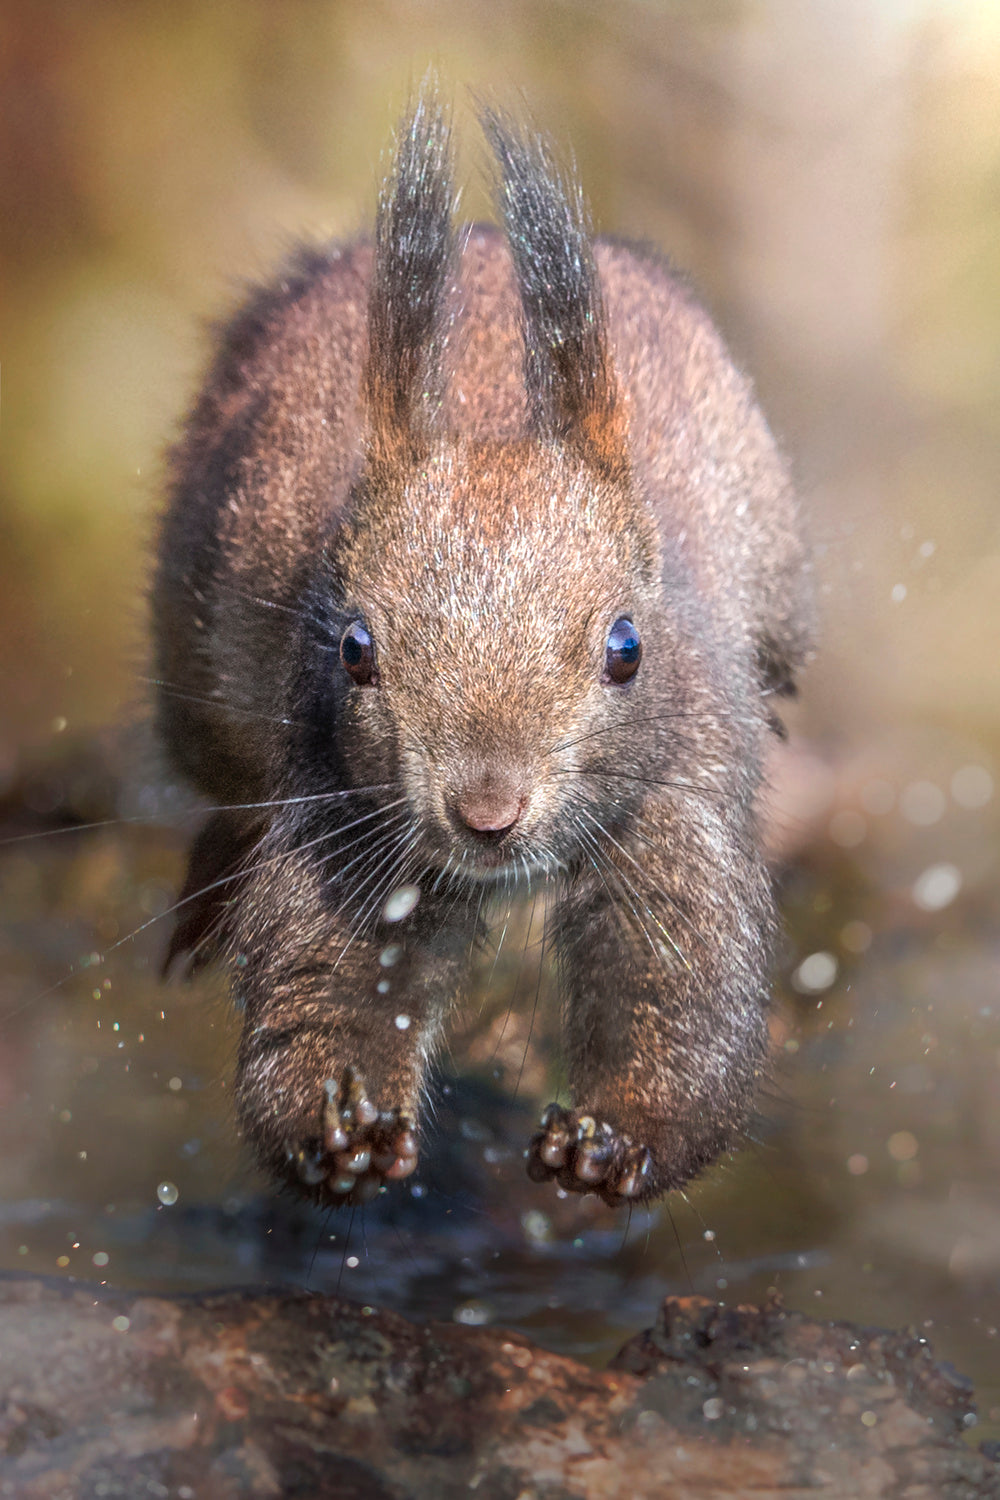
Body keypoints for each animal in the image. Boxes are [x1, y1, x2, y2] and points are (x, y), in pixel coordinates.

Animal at [152, 91, 812, 1209]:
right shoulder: (339, 806)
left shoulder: (679, 787)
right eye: (355, 648)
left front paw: (613, 1139)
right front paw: (337, 1131)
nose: (486, 813)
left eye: (626, 649)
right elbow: (326, 977)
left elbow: (682, 984)